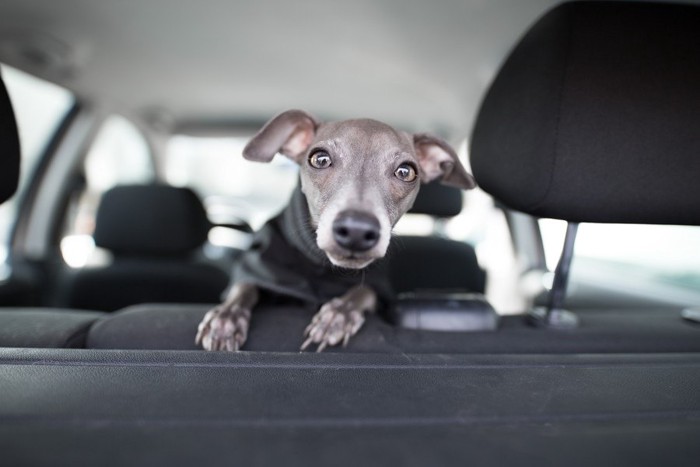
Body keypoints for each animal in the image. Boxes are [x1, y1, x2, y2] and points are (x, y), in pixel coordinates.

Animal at [196, 109, 476, 352]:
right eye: (320, 158)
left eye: (406, 171)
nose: (356, 231)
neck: (321, 268)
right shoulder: (257, 269)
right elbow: (244, 288)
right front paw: (224, 319)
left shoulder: (378, 286)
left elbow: (364, 291)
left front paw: (338, 315)